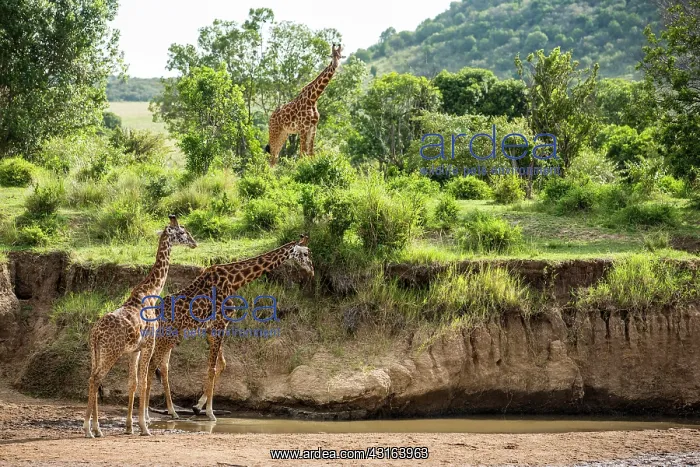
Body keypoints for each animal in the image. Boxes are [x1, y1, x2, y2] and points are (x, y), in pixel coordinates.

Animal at [83, 215, 197, 438]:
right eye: (182, 232)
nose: (194, 243)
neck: (151, 292)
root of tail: (95, 334)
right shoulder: (148, 345)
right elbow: (144, 382)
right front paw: (144, 427)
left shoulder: (134, 350)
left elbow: (132, 383)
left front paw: (129, 426)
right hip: (111, 353)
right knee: (96, 379)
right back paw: (90, 429)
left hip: (96, 353)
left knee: (93, 378)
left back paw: (96, 428)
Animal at [144, 234, 314, 422]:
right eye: (306, 253)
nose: (312, 272)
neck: (234, 281)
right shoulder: (220, 325)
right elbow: (212, 368)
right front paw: (210, 412)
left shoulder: (212, 329)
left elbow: (222, 364)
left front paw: (198, 406)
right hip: (166, 337)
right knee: (152, 365)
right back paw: (148, 413)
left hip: (169, 339)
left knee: (162, 367)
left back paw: (170, 411)